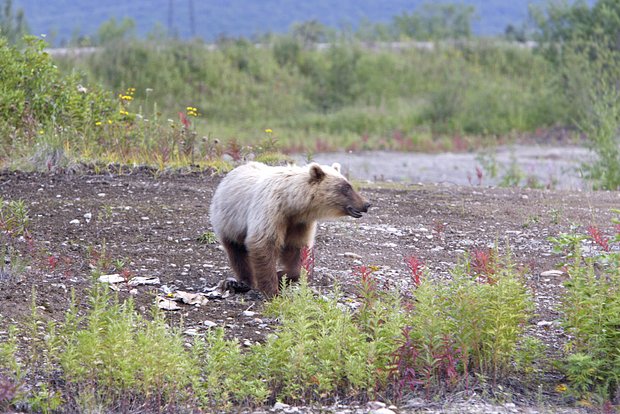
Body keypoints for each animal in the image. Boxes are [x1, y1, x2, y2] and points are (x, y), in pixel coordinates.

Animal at [211, 160, 370, 296]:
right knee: (237, 252)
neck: (291, 204)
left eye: (349, 185)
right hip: (228, 222)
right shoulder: (270, 211)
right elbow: (264, 244)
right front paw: (272, 289)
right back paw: (242, 283)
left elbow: (297, 251)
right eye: (345, 188)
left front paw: (282, 275)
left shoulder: (299, 224)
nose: (367, 204)